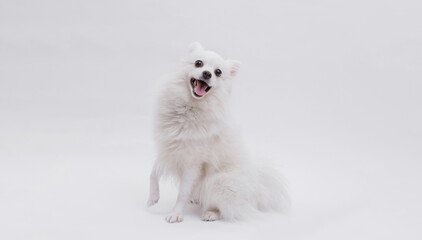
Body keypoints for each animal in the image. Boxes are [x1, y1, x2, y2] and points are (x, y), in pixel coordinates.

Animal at [145, 41, 286, 223]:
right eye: (198, 63)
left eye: (218, 72)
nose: (207, 73)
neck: (189, 108)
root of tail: (257, 189)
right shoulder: (168, 148)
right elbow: (153, 172)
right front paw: (153, 197)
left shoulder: (192, 163)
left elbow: (182, 192)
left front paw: (176, 213)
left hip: (217, 183)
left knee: (232, 208)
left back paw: (211, 213)